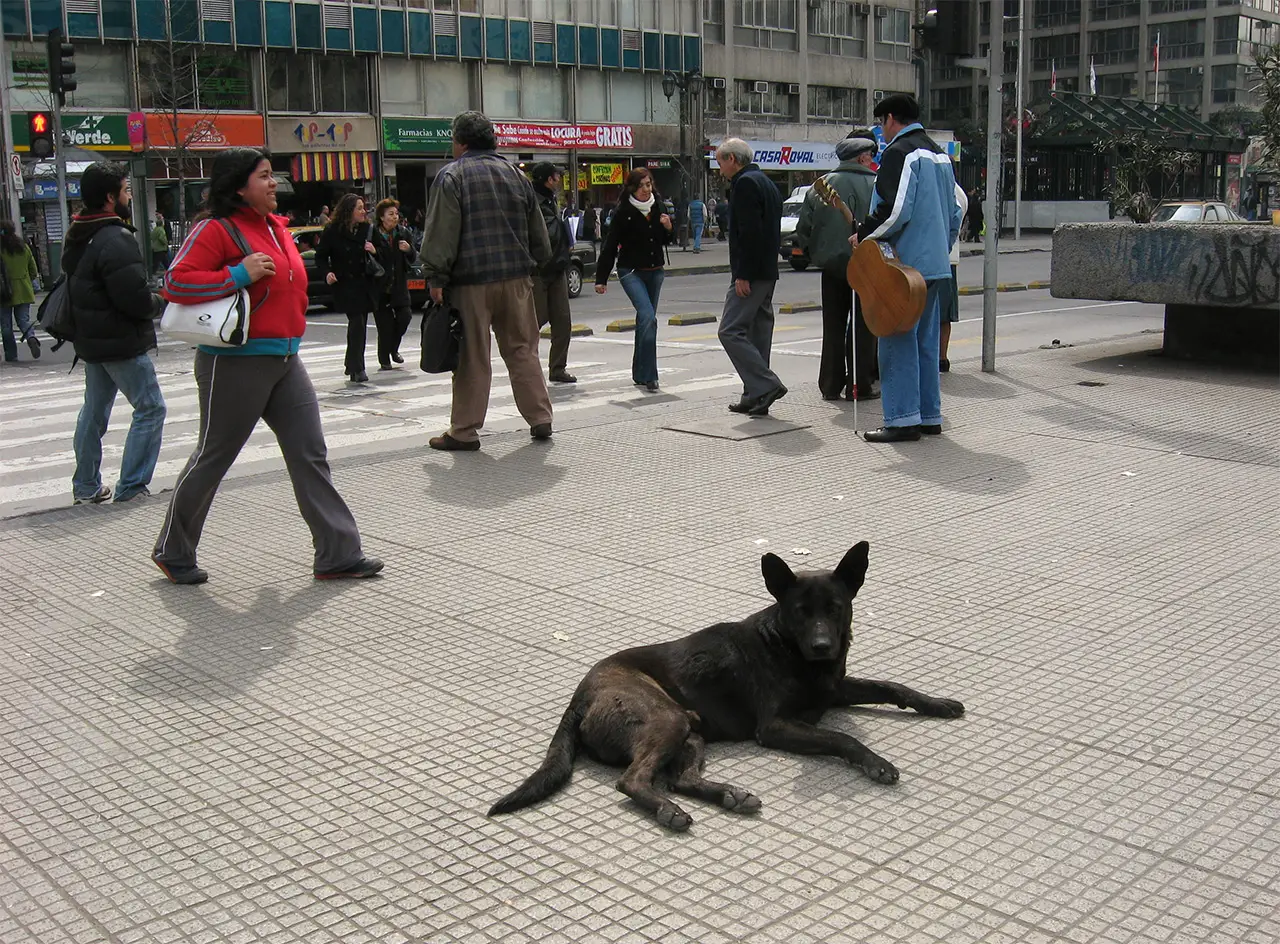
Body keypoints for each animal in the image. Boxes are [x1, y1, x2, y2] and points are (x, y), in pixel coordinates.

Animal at [488, 539, 962, 828]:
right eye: (800, 611)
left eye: (836, 607)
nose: (823, 646)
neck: (790, 649)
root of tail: (580, 697)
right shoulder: (775, 727)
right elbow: (840, 738)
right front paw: (875, 762)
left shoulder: (837, 689)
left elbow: (892, 686)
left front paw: (937, 703)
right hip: (668, 719)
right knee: (633, 780)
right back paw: (669, 811)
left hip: (692, 732)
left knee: (680, 778)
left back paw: (729, 795)